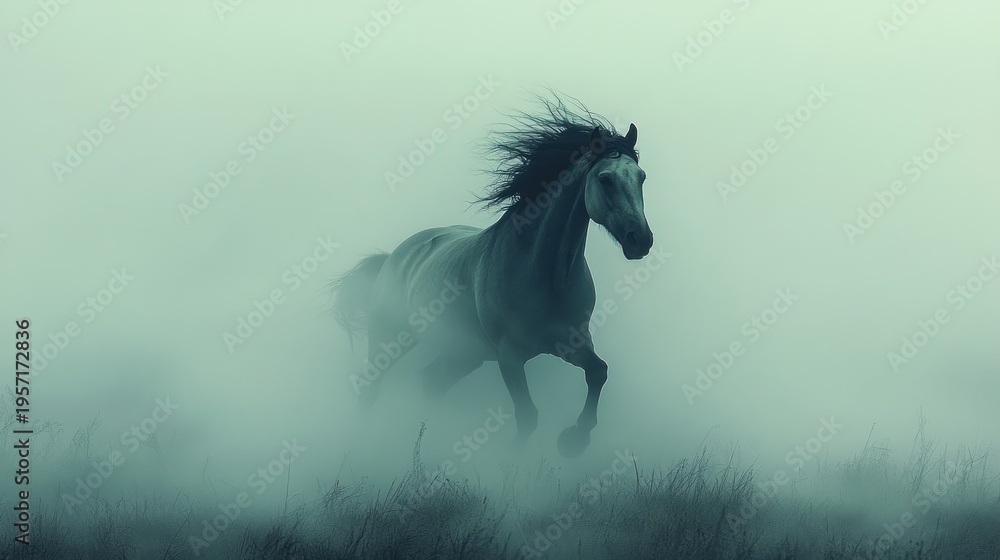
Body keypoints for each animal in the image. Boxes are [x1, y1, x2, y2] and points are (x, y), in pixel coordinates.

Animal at [331, 97, 653, 458]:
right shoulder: (509, 355)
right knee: (371, 388)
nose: (640, 240)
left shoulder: (571, 342)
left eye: (641, 177)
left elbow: (599, 372)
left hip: (463, 352)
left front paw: (574, 439)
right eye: (605, 179)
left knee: (431, 382)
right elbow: (527, 416)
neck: (544, 276)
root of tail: (394, 256)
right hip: (389, 339)